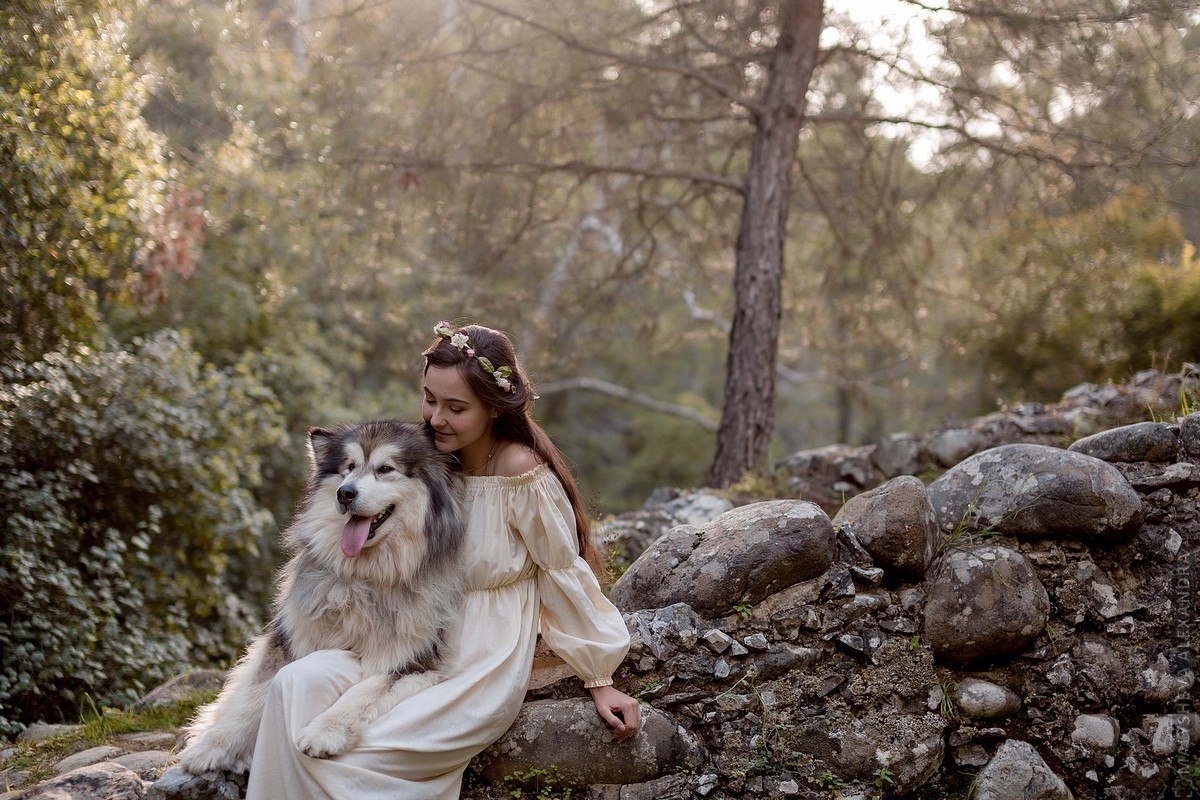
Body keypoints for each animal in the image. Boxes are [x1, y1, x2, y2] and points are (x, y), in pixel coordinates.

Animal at [177, 419, 463, 777]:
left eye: (385, 469)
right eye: (348, 468)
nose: (345, 493)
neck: (363, 580)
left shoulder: (419, 658)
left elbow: (365, 689)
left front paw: (325, 730)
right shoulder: (290, 640)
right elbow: (255, 697)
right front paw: (213, 745)